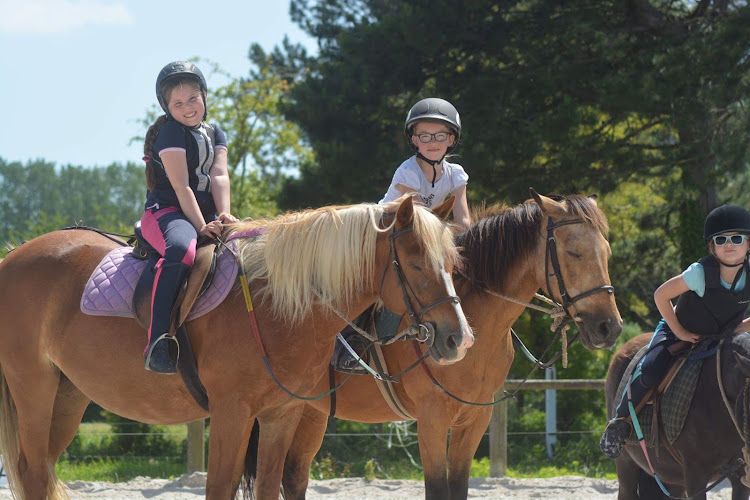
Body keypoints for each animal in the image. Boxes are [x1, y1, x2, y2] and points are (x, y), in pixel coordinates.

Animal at [0, 195, 474, 500]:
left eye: (453, 263)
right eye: (415, 263)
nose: (458, 339)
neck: (275, 305)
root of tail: (13, 257)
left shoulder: (281, 415)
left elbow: (265, 487)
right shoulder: (232, 412)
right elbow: (219, 488)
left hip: (67, 395)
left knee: (41, 468)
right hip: (33, 387)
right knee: (32, 472)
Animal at [247, 190, 623, 500]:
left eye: (606, 252)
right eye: (574, 252)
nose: (609, 327)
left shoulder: (475, 419)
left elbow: (459, 487)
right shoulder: (431, 419)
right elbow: (438, 489)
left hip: (311, 412)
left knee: (294, 476)